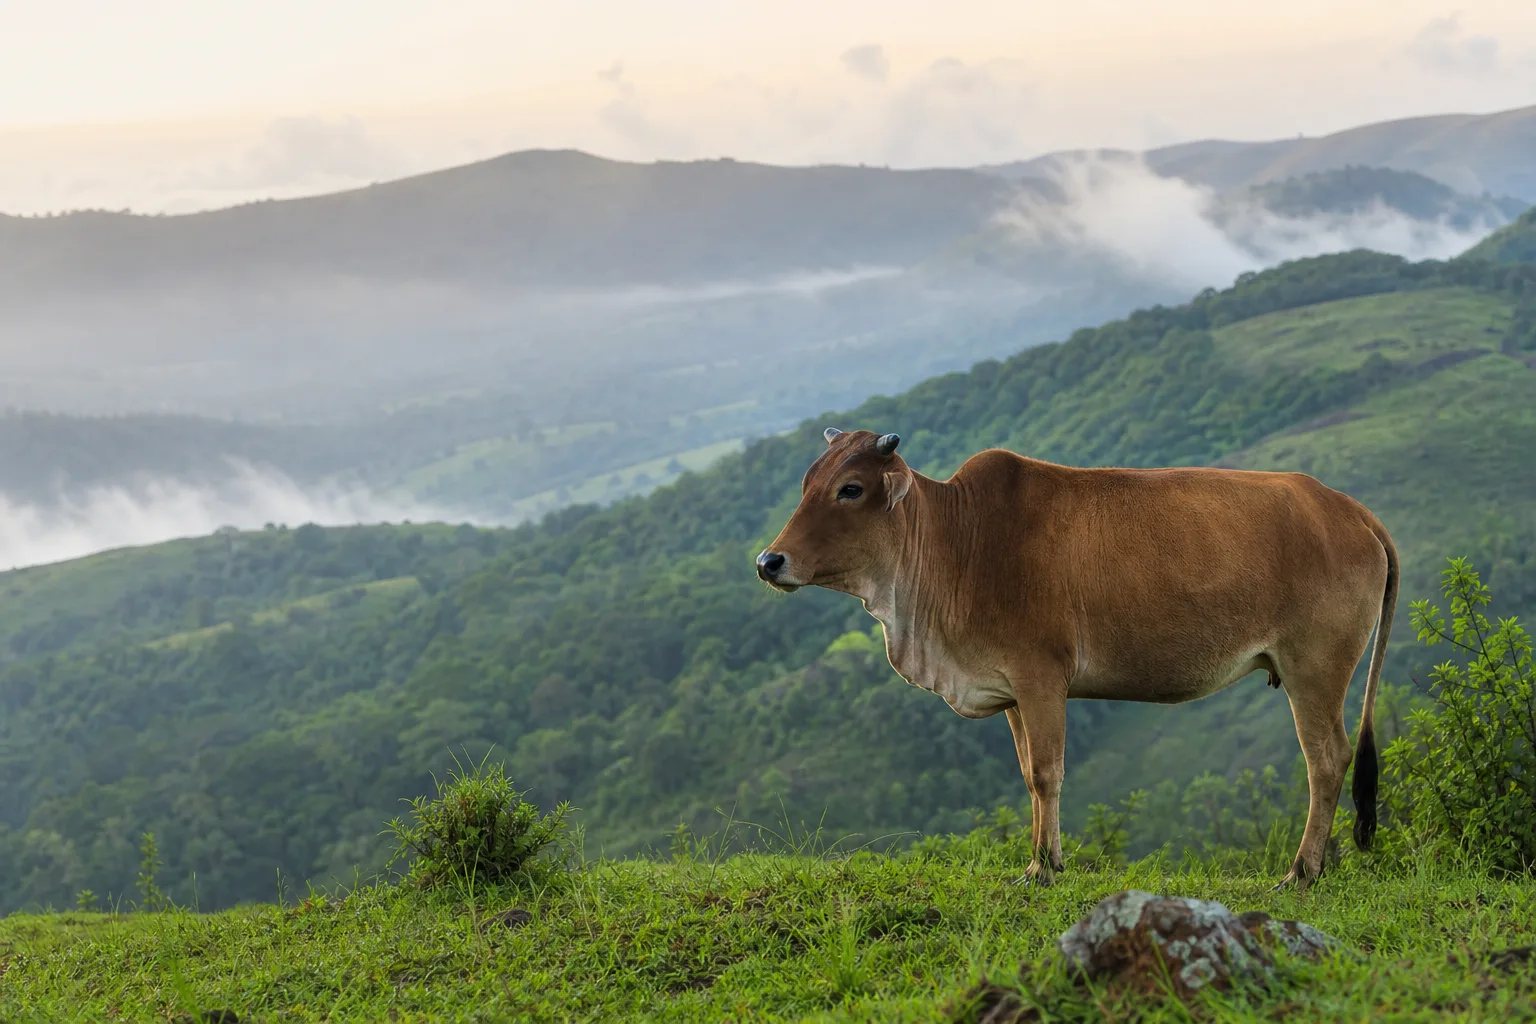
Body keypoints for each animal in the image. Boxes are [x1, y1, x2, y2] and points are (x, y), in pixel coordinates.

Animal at [755, 428, 1397, 889]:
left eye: (851, 488)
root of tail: (1348, 508)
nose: (769, 561)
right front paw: (1041, 860)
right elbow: (1028, 776)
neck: (957, 546)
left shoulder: (1042, 678)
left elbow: (1048, 772)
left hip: (1314, 669)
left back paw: (1302, 871)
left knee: (1326, 760)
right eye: (808, 482)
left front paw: (1044, 866)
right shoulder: (1011, 691)